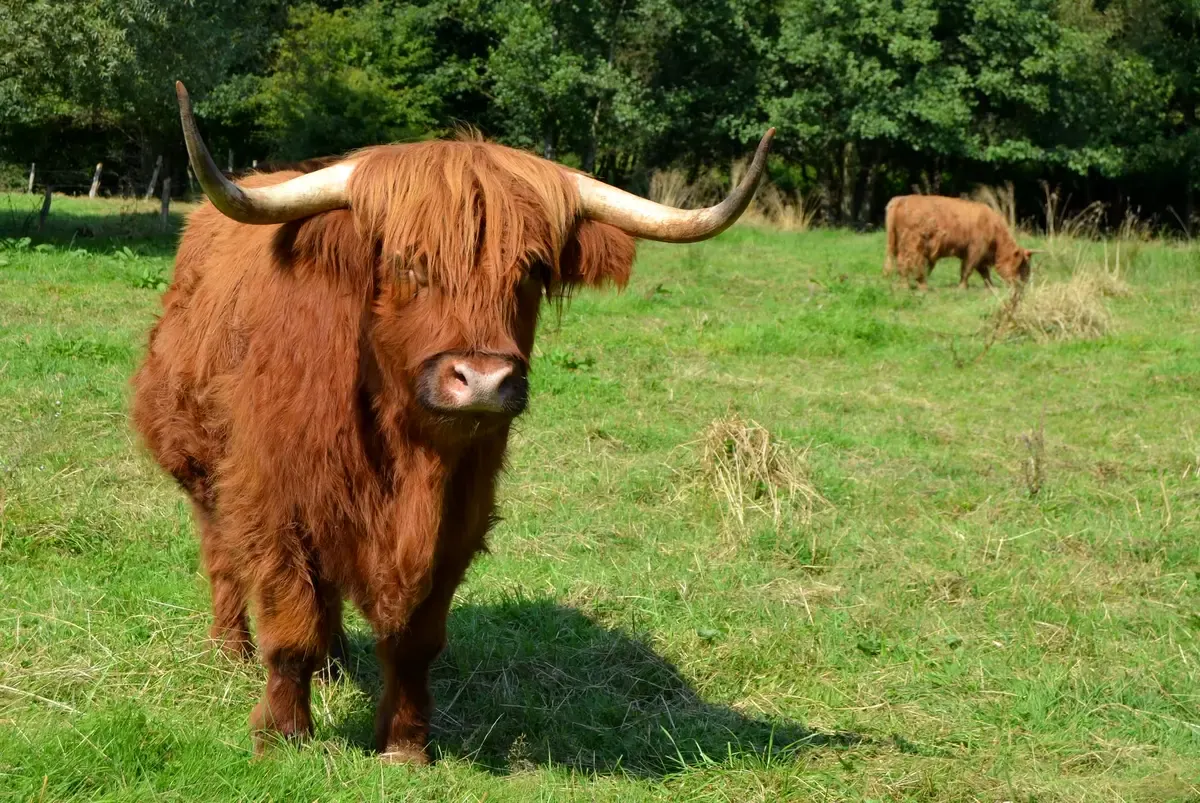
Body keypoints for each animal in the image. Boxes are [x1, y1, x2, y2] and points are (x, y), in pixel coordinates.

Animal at [130, 82, 773, 763]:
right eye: (409, 264)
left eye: (533, 271)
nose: (483, 380)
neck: (410, 457)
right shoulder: (275, 504)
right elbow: (290, 624)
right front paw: (283, 735)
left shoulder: (460, 518)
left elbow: (415, 642)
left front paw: (405, 745)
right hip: (204, 473)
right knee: (224, 559)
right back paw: (230, 650)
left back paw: (335, 661)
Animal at [882, 194, 1035, 290]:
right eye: (1022, 265)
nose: (1022, 285)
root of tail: (900, 200)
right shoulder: (975, 250)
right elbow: (968, 269)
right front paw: (962, 287)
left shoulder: (980, 255)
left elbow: (984, 273)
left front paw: (991, 287)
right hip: (913, 245)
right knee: (909, 263)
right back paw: (918, 287)